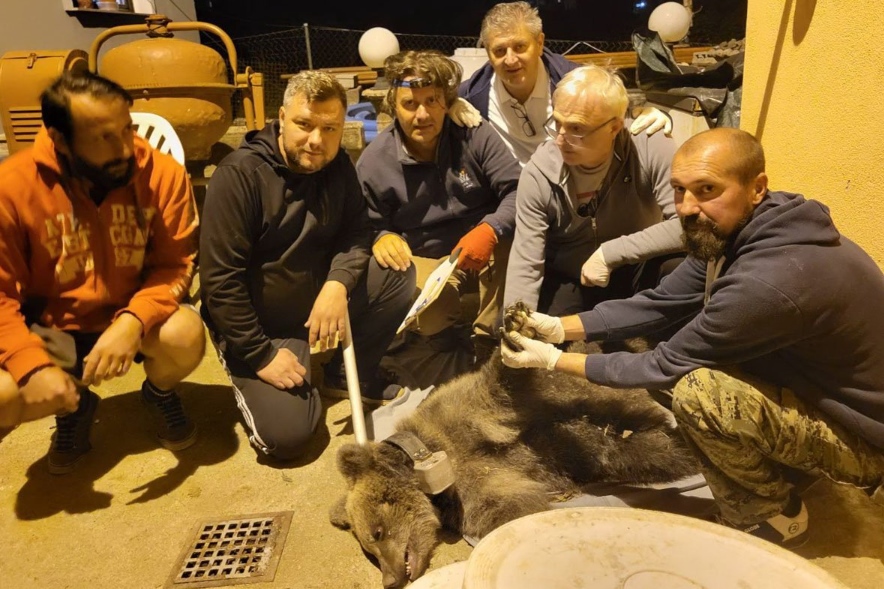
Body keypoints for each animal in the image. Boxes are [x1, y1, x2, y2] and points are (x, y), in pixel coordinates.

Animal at [330, 306, 696, 584]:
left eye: (377, 533)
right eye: (369, 550)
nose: (390, 579)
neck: (429, 458)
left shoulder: (471, 415)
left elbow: (502, 385)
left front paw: (517, 330)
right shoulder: (483, 490)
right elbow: (515, 508)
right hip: (622, 449)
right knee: (653, 454)